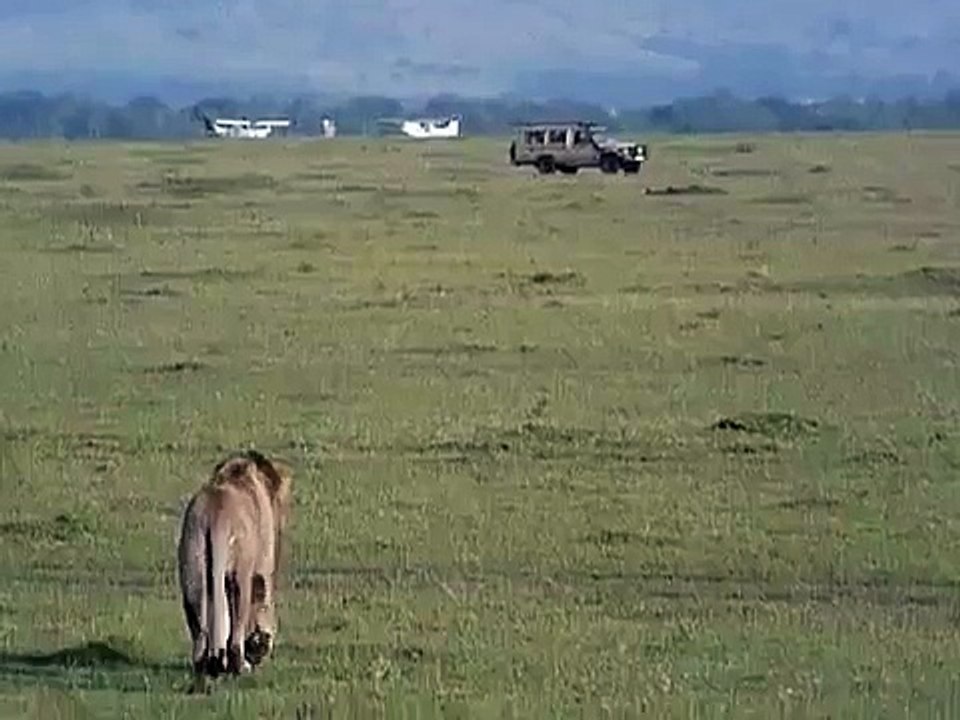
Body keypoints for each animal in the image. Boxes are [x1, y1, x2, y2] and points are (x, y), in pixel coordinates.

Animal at [177, 449, 292, 680]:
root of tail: (214, 514)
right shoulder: (263, 565)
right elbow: (261, 601)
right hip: (240, 573)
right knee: (237, 621)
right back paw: (238, 666)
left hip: (192, 565)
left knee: (199, 626)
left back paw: (204, 666)